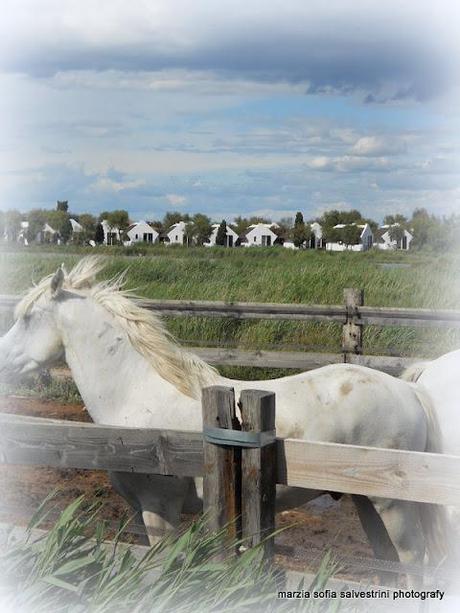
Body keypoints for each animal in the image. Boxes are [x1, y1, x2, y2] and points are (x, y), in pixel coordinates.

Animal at [0, 256, 448, 572]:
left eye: (27, 317)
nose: (1, 362)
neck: (137, 397)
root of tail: (410, 390)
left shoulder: (160, 514)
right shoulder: (142, 513)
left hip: (394, 506)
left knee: (416, 564)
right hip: (366, 504)